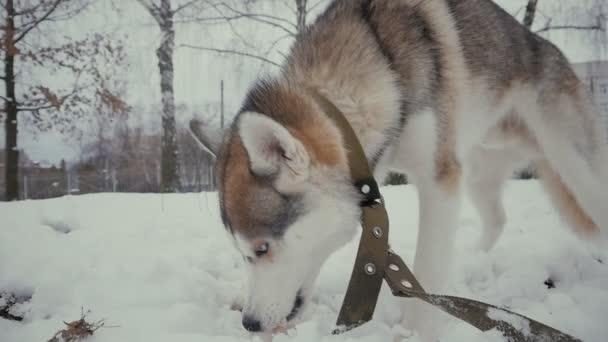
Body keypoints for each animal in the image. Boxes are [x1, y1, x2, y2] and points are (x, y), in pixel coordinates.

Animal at [190, 0, 608, 338]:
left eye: (262, 248)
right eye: (241, 250)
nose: (249, 323)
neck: (381, 68)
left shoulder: (439, 180)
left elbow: (428, 264)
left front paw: (415, 332)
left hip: (576, 169)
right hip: (477, 170)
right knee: (496, 218)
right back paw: (473, 258)